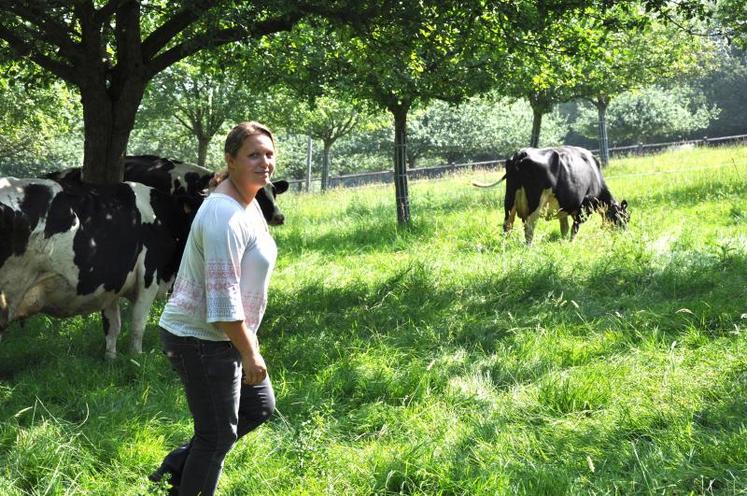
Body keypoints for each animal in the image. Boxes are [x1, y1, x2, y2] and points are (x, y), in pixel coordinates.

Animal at [0, 178, 199, 356]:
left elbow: (112, 326)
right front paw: (136, 357)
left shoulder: (111, 285)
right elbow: (138, 324)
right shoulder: (149, 276)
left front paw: (111, 359)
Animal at [474, 145, 632, 244]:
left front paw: (563, 242)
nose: (626, 235)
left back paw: (505, 245)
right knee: (529, 226)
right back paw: (529, 247)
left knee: (507, 225)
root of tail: (522, 153)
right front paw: (571, 243)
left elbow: (564, 228)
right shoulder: (584, 208)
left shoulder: (564, 209)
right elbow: (574, 229)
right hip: (536, 201)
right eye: (625, 217)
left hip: (509, 199)